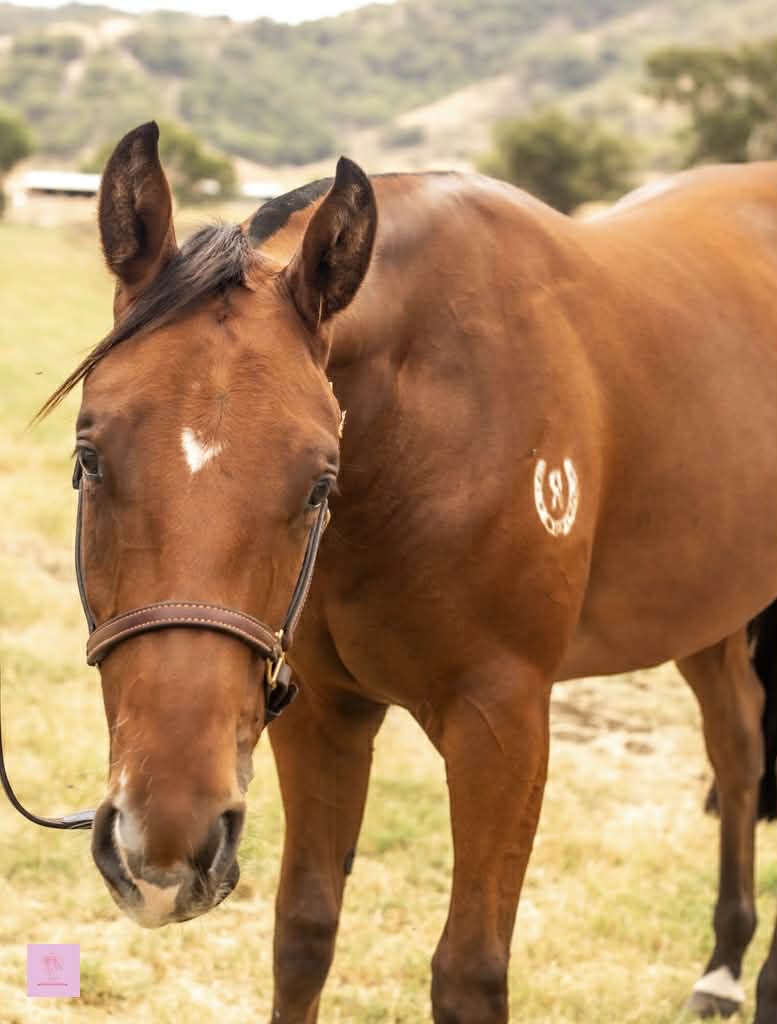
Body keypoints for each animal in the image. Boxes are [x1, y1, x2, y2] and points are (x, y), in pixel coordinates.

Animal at [34, 123, 777, 1022]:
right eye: (91, 456)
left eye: (320, 481)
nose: (166, 839)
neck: (433, 409)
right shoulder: (323, 713)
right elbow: (302, 934)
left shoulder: (501, 727)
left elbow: (468, 973)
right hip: (705, 613)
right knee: (737, 748)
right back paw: (724, 963)